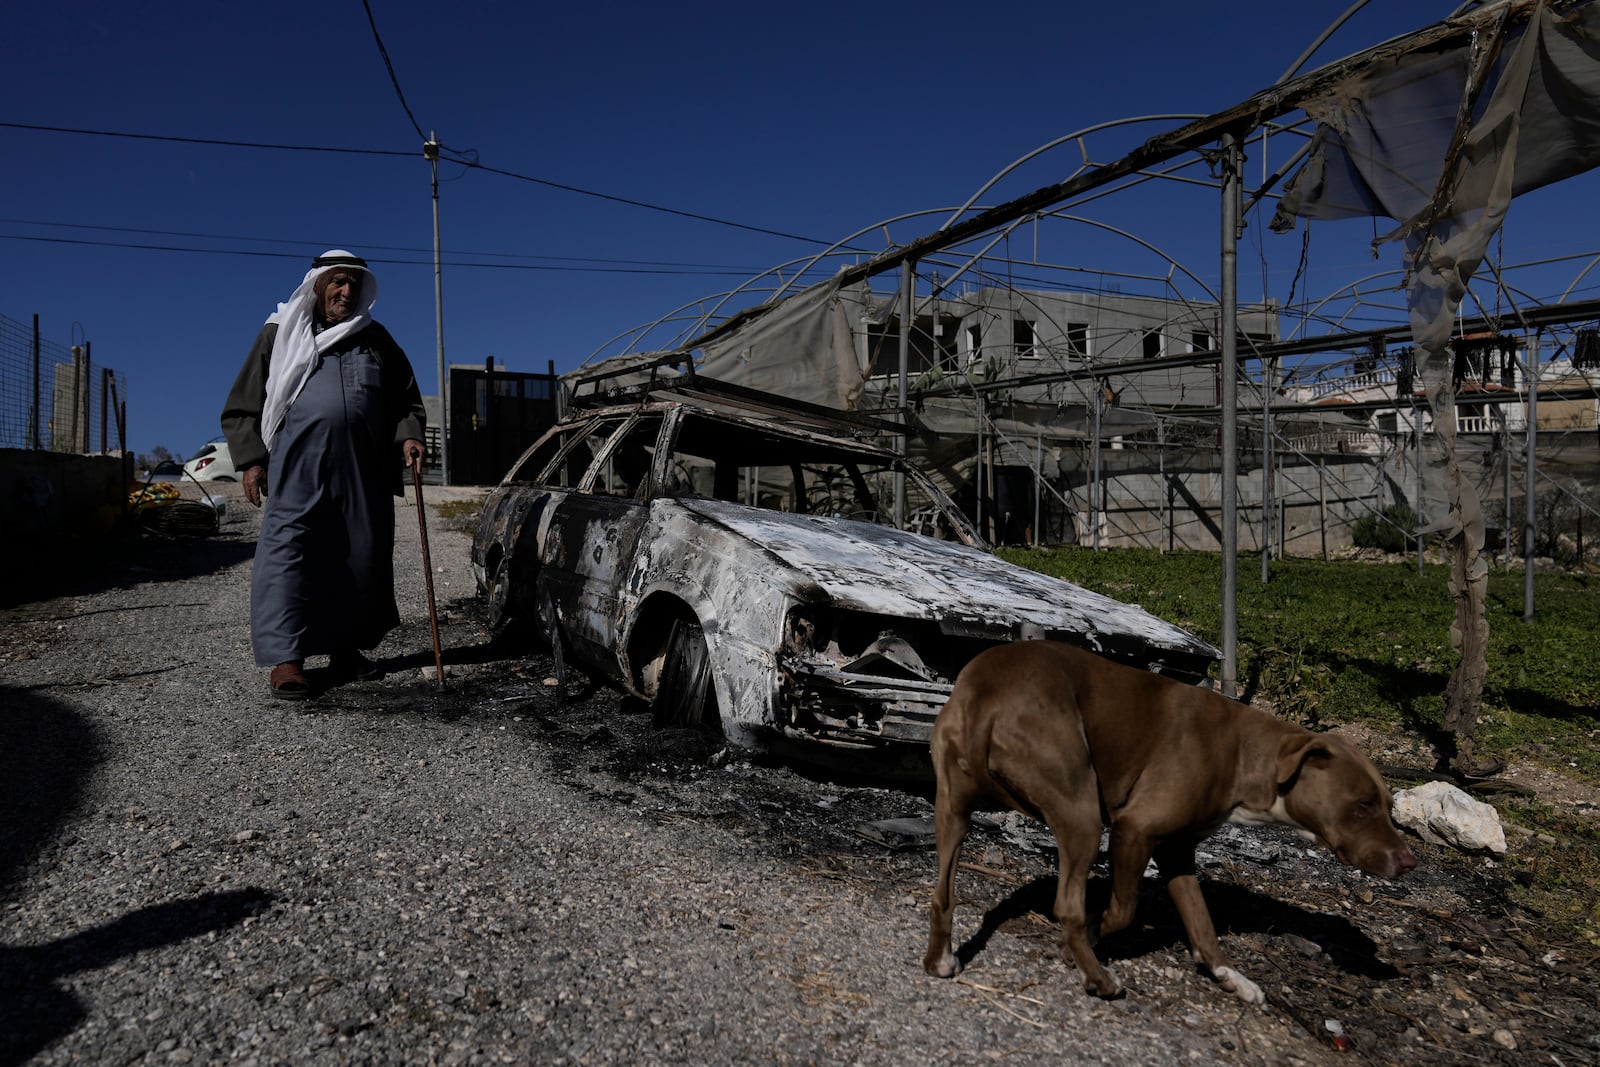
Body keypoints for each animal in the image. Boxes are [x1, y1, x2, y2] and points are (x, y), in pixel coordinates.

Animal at [921, 643, 1420, 1004]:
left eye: (1388, 805)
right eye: (1362, 805)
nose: (1409, 862)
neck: (1247, 754)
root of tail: (988, 695)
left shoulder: (1178, 851)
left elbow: (1202, 924)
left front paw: (1231, 977)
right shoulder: (1135, 830)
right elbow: (1121, 911)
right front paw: (1085, 944)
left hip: (952, 809)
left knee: (943, 893)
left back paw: (940, 961)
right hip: (1081, 815)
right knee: (1068, 906)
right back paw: (1099, 978)